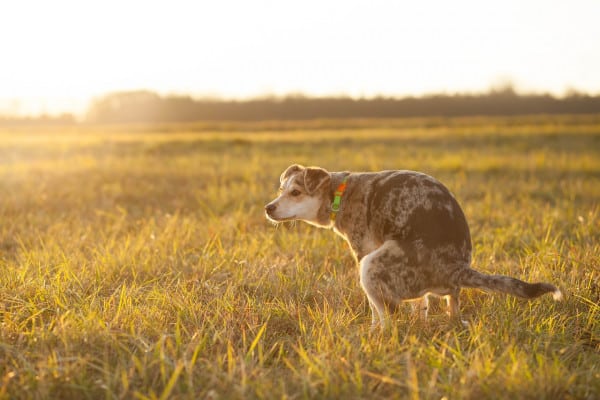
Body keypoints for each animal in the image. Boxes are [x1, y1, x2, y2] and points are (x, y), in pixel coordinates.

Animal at [264, 164, 560, 326]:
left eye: (296, 192)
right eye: (281, 190)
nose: (268, 208)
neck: (339, 193)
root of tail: (456, 267)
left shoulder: (363, 251)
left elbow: (375, 310)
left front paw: (372, 330)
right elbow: (421, 306)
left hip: (372, 266)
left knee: (389, 317)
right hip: (444, 291)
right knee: (451, 307)